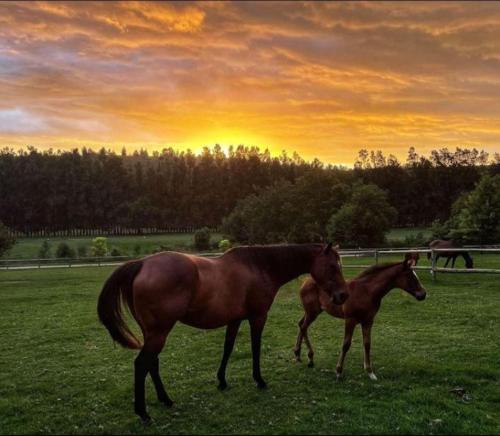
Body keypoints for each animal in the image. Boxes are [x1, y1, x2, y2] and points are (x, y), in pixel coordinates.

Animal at [97, 244, 348, 420]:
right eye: (333, 266)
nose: (343, 295)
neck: (260, 267)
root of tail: (142, 264)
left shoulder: (234, 320)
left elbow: (227, 348)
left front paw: (222, 381)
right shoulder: (258, 318)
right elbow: (255, 348)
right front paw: (259, 380)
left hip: (153, 333)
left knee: (152, 363)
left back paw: (166, 400)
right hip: (160, 332)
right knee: (142, 364)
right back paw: (143, 413)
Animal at [292, 254, 426, 380]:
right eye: (410, 276)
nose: (423, 294)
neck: (366, 291)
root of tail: (306, 280)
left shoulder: (368, 321)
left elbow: (367, 344)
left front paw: (370, 372)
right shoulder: (350, 320)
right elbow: (346, 344)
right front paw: (339, 372)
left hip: (313, 311)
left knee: (301, 324)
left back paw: (298, 354)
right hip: (312, 312)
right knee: (303, 327)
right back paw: (309, 358)